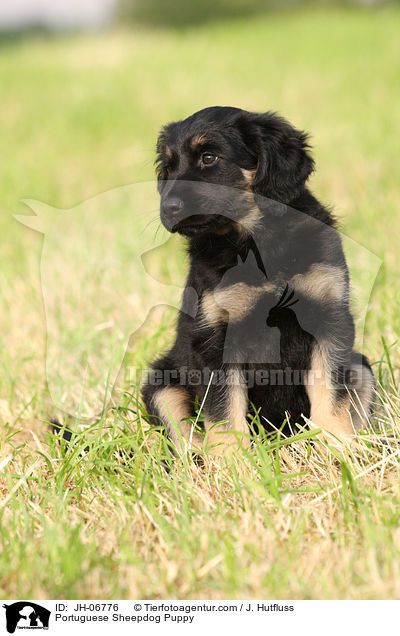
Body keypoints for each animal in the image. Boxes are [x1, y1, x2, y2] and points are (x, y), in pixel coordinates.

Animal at [141, 107, 376, 458]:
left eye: (209, 157)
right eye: (168, 168)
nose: (168, 209)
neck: (257, 240)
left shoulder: (329, 316)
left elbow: (330, 393)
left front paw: (337, 446)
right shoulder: (214, 336)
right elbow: (224, 410)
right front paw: (232, 463)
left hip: (361, 367)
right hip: (162, 381)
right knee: (183, 437)